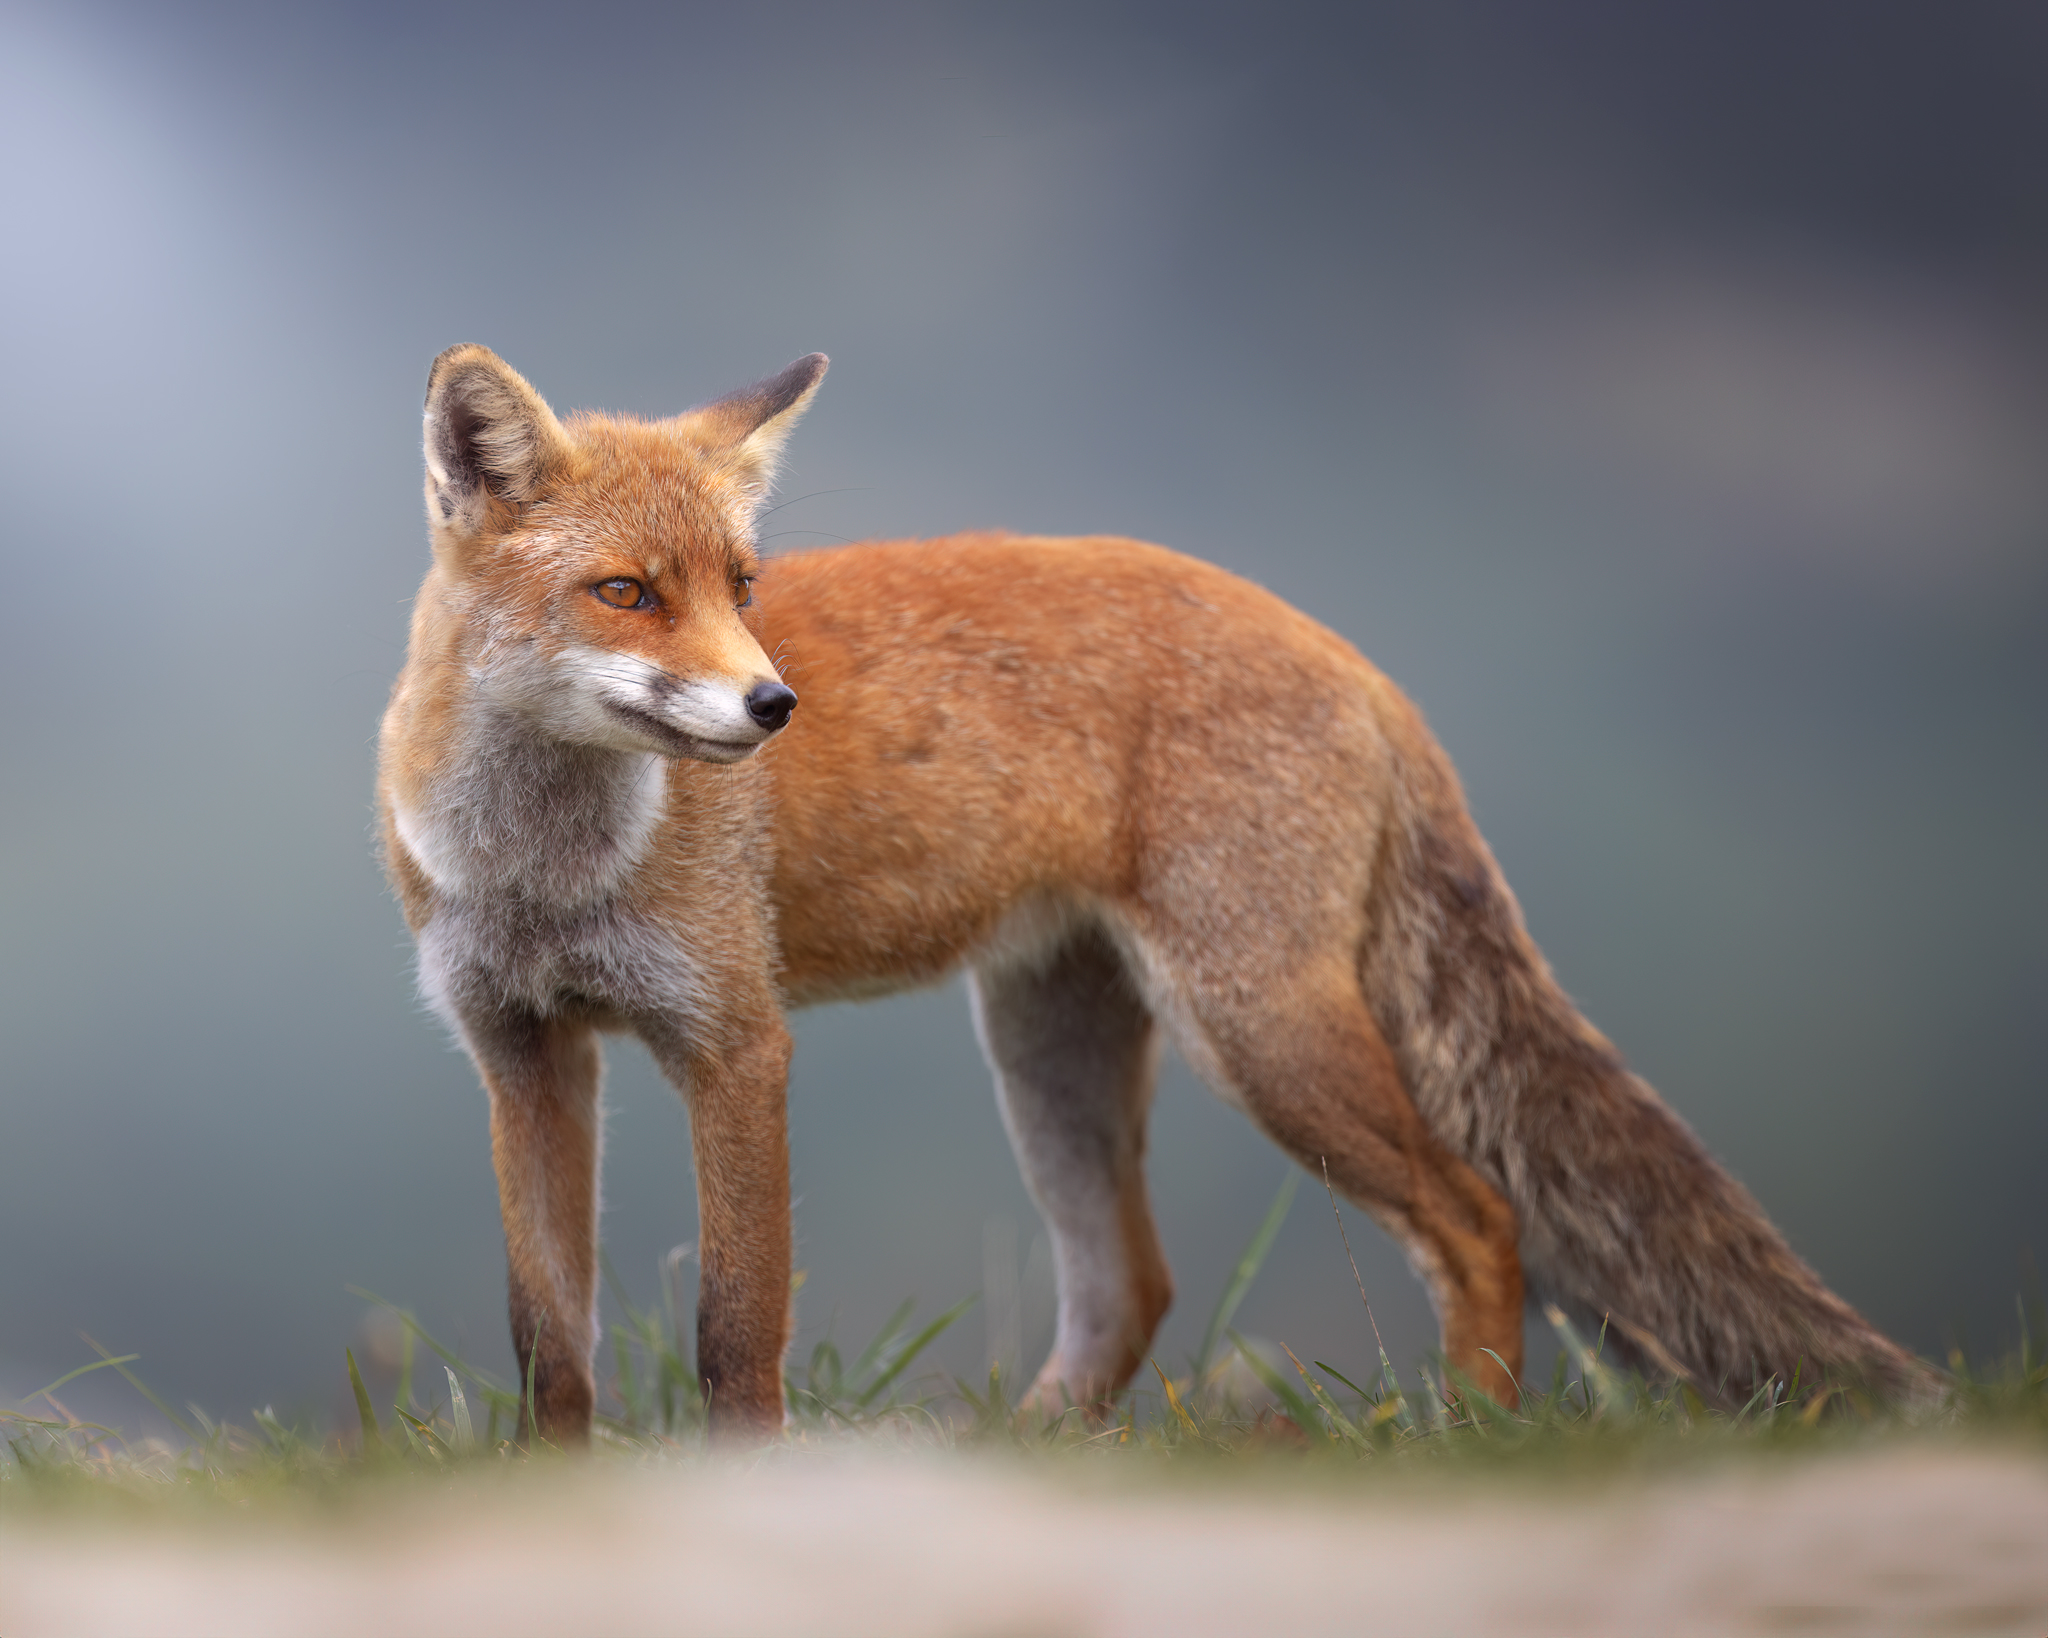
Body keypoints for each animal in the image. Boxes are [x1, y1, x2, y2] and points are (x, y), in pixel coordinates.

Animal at [378, 344, 1923, 1442]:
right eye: (626, 592)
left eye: (741, 585)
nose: (773, 705)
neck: (545, 868)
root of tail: (1357, 657)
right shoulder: (524, 1052)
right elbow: (548, 1336)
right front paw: (551, 1495)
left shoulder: (736, 1043)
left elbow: (735, 1327)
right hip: (1052, 1045)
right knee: (1134, 1282)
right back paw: (1029, 1453)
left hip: (1256, 1028)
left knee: (1478, 1220)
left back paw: (1468, 1440)